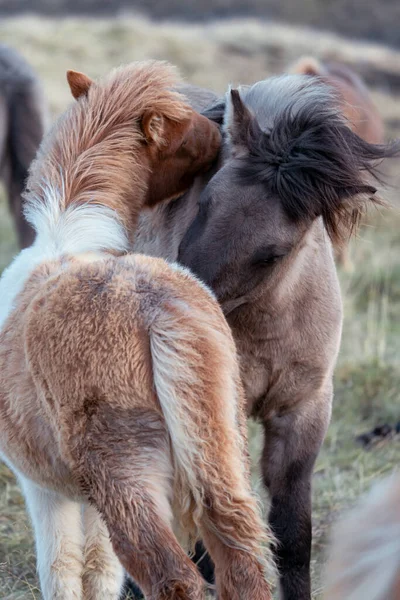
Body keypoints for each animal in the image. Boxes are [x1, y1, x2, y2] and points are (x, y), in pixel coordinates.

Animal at [0, 59, 272, 600]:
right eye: (184, 132)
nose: (220, 134)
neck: (70, 236)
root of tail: (156, 308)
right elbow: (99, 571)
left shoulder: (41, 487)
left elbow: (61, 568)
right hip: (222, 459)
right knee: (243, 565)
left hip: (125, 476)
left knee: (172, 576)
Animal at [126, 75, 396, 600]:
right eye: (204, 203)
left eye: (272, 254)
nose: (182, 303)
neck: (268, 325)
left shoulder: (303, 412)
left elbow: (291, 531)